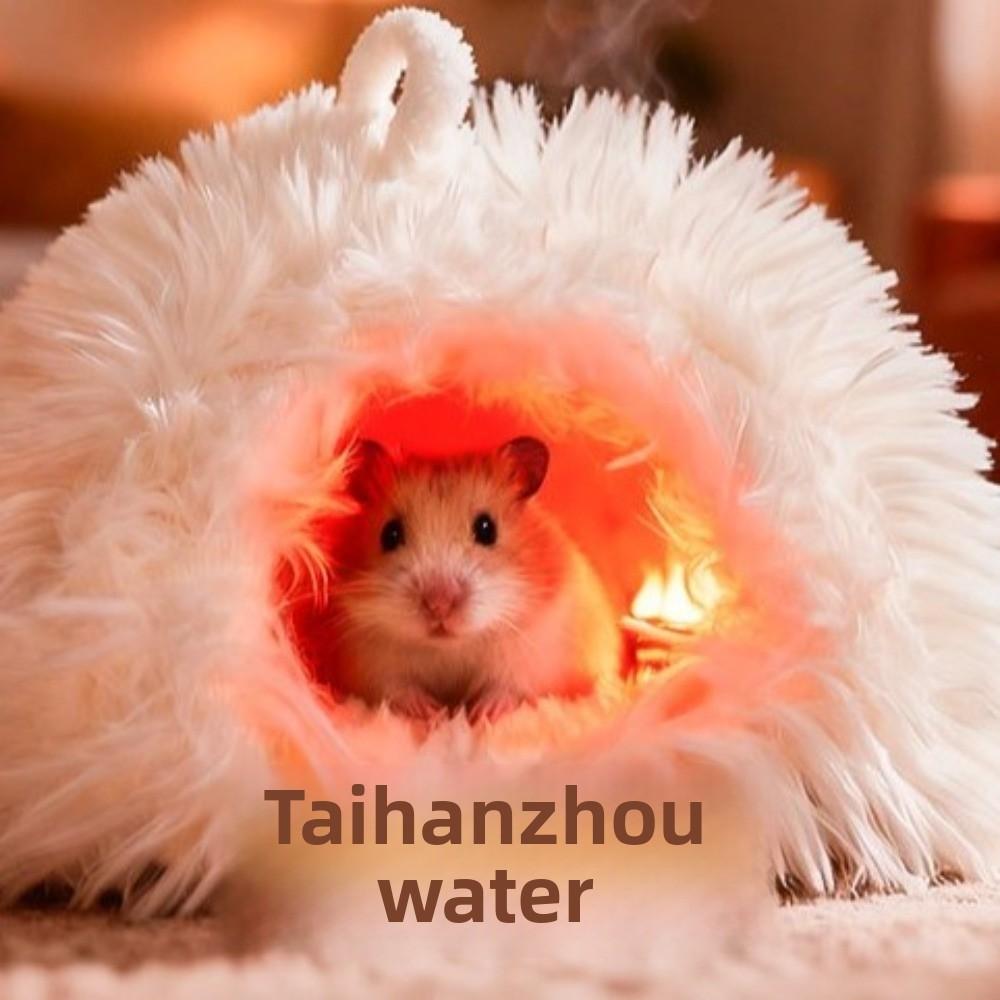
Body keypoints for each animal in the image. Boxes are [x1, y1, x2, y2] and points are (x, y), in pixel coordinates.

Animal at [317, 436, 622, 721]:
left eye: (487, 529)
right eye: (390, 534)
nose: (439, 605)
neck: (450, 648)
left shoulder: (532, 656)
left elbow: (507, 686)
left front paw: (482, 713)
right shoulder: (369, 661)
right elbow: (397, 689)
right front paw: (431, 712)